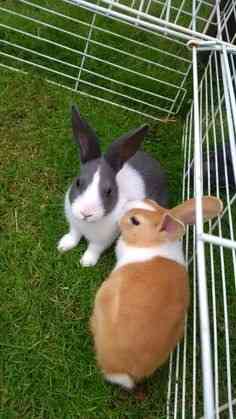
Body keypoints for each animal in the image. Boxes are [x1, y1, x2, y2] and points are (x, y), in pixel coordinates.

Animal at [57, 106, 168, 268]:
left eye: (109, 191)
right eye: (78, 182)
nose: (86, 213)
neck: (87, 224)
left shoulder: (103, 240)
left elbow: (94, 249)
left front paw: (86, 262)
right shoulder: (74, 225)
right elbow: (74, 235)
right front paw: (63, 245)